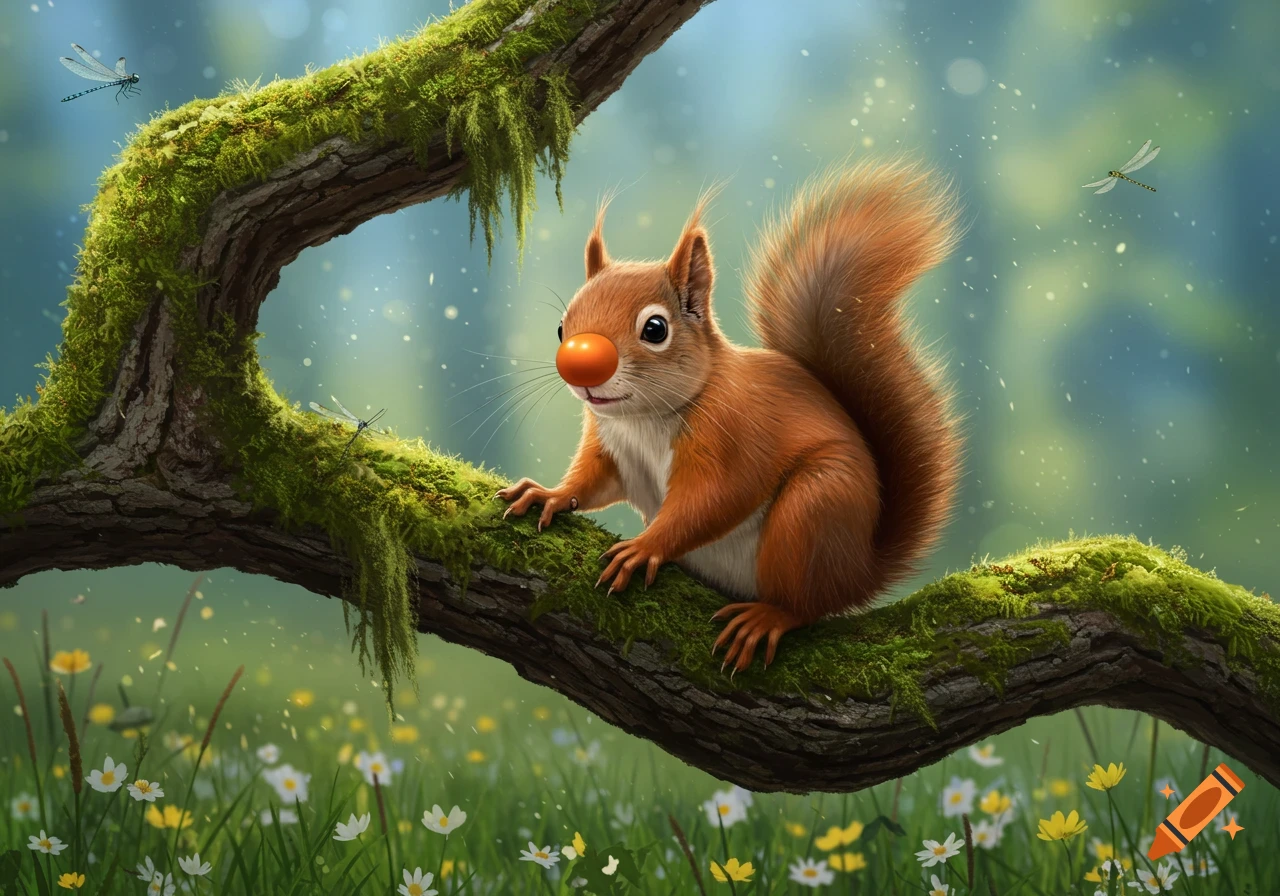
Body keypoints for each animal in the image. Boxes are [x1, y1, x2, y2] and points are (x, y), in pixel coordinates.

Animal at [498, 158, 964, 672]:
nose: (578, 368)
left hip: (814, 509)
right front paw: (549, 494)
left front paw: (644, 547)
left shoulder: (734, 435)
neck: (644, 419)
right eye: (562, 327)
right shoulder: (609, 446)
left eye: (655, 329)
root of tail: (860, 570)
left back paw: (768, 617)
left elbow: (714, 500)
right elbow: (592, 482)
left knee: (805, 604)